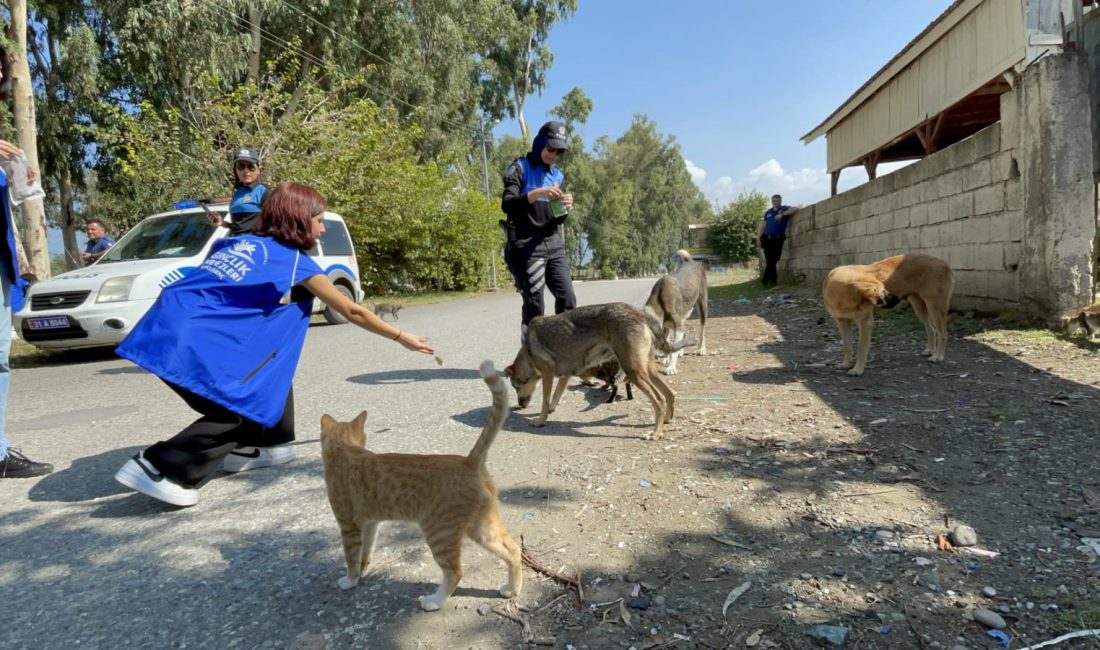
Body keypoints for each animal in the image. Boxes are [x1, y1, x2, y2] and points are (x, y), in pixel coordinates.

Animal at [321, 360, 521, 611]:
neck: (344, 449)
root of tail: (469, 461)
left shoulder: (348, 525)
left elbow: (350, 556)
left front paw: (349, 580)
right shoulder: (371, 523)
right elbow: (364, 552)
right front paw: (362, 571)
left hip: (439, 533)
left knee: (455, 572)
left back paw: (434, 601)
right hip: (481, 528)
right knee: (513, 550)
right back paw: (512, 589)